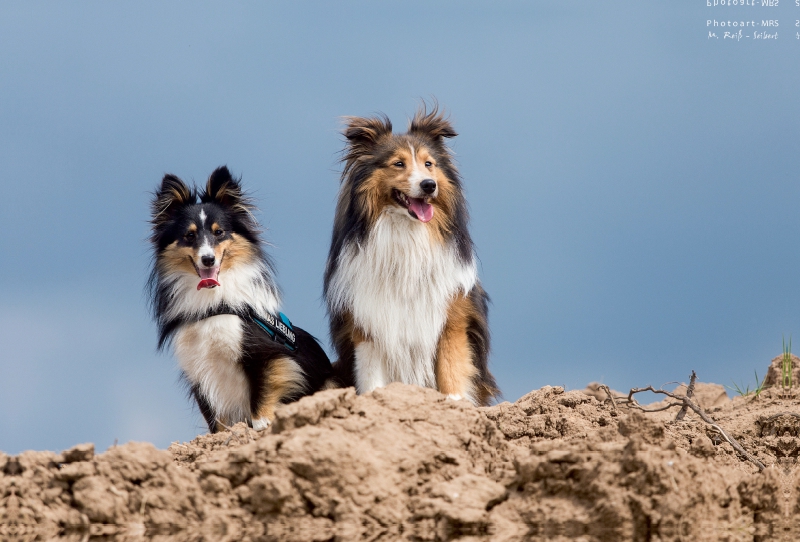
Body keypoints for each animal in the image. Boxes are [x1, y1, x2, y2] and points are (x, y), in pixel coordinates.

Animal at [149, 166, 332, 434]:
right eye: (189, 236)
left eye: (219, 232)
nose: (208, 259)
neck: (213, 305)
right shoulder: (199, 371)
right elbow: (216, 421)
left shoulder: (266, 356)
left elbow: (261, 398)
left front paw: (262, 426)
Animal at [322, 106, 496, 406]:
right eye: (398, 164)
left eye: (429, 164)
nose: (429, 186)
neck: (407, 234)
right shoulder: (367, 324)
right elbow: (372, 379)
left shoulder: (452, 318)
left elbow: (452, 371)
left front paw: (454, 405)